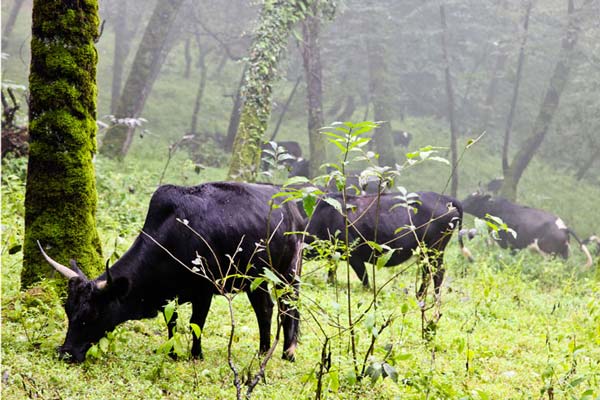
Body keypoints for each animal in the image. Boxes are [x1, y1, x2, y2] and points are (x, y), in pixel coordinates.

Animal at [39, 182, 304, 362]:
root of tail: (292, 206)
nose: (65, 353)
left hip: (288, 271)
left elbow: (196, 323)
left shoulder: (203, 291)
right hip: (255, 279)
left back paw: (287, 352)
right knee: (266, 308)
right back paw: (263, 351)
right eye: (68, 309)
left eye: (93, 314)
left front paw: (196, 355)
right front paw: (173, 353)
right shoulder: (169, 296)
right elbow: (172, 323)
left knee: (288, 305)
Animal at [308, 189, 472, 296]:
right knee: (429, 272)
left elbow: (364, 278)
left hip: (434, 249)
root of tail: (446, 199)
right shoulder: (335, 255)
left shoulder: (353, 255)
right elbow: (331, 273)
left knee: (436, 272)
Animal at [462, 192, 592, 268]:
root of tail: (564, 227)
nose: (460, 204)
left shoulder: (506, 242)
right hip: (563, 254)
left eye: (473, 200)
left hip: (548, 254)